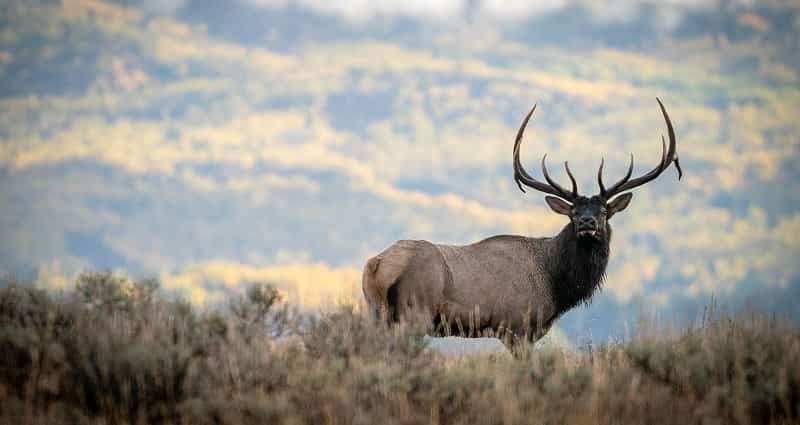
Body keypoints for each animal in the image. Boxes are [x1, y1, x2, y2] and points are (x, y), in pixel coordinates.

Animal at [362, 98, 680, 342]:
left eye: (603, 211)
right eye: (574, 213)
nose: (587, 223)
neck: (556, 286)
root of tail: (377, 266)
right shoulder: (517, 326)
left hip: (375, 311)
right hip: (414, 311)